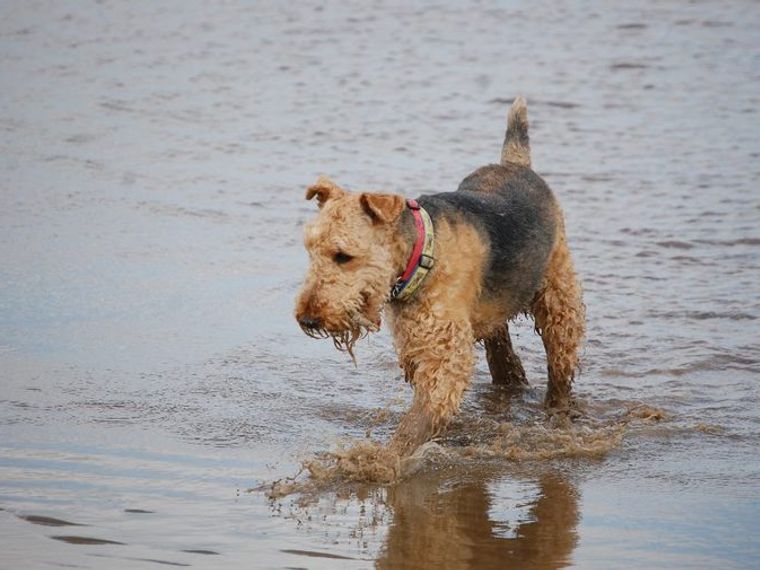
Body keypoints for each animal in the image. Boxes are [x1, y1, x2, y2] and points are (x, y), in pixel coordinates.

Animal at [294, 96, 584, 452]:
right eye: (310, 250)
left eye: (343, 256)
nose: (308, 319)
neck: (422, 256)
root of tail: (517, 164)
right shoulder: (416, 346)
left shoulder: (444, 355)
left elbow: (416, 423)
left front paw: (383, 459)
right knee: (501, 349)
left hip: (559, 299)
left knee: (559, 367)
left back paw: (557, 411)